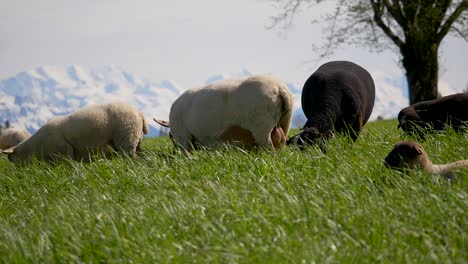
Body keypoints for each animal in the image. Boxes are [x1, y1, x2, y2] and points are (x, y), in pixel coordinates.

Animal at [1, 102, 148, 164]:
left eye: (11, 159)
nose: (19, 176)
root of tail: (139, 113)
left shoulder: (64, 152)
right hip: (135, 138)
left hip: (126, 137)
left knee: (131, 156)